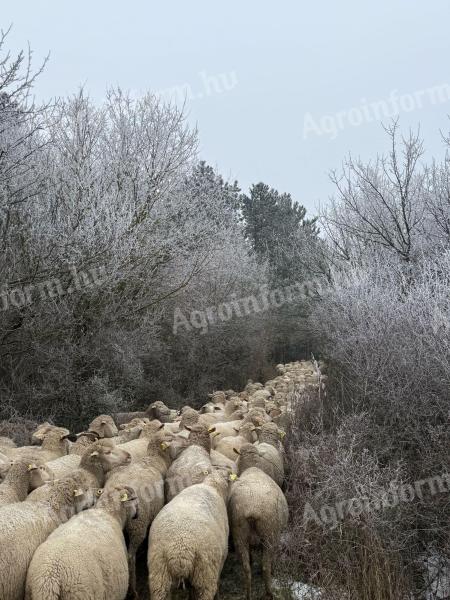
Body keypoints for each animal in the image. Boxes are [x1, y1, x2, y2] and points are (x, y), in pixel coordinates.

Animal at [229, 460, 288, 596]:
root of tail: (252, 509)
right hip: (269, 534)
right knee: (265, 566)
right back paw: (269, 593)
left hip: (239, 534)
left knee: (246, 568)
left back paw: (248, 594)